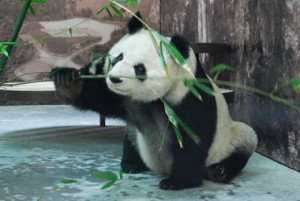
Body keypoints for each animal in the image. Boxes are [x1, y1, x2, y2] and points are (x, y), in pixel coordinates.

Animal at [49, 12, 258, 190]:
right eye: (118, 57)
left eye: (140, 68)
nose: (114, 79)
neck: (157, 99)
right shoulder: (124, 99)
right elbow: (98, 95)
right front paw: (67, 79)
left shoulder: (189, 97)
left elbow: (192, 139)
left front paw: (177, 181)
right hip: (136, 134)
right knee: (131, 138)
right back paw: (131, 164)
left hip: (230, 139)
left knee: (245, 140)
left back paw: (219, 171)